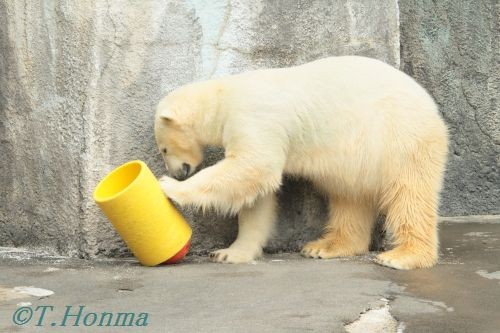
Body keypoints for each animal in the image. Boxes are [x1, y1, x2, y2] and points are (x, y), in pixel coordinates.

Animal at [154, 56, 448, 270]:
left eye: (164, 149)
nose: (177, 172)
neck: (224, 97)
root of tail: (432, 107)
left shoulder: (253, 117)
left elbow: (253, 167)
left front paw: (169, 187)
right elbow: (258, 197)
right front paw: (228, 253)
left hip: (399, 136)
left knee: (409, 194)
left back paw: (402, 256)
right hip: (358, 159)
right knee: (349, 197)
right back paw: (323, 247)